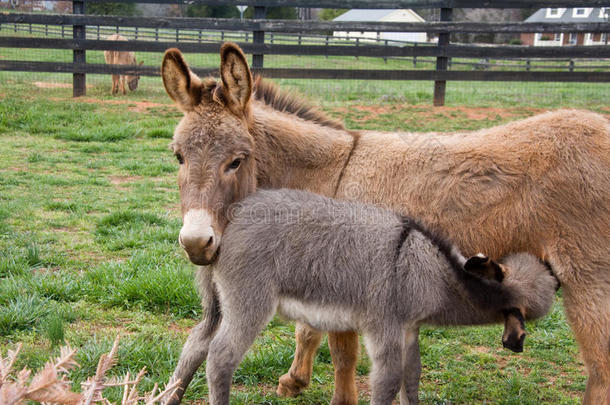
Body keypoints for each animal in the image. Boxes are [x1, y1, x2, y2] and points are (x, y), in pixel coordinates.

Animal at [191, 190, 556, 404]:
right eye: (551, 283)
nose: (559, 275)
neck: (434, 271)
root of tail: (227, 226)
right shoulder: (385, 327)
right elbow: (388, 382)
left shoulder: (409, 331)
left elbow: (411, 379)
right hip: (250, 302)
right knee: (221, 357)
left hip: (224, 302)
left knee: (199, 342)